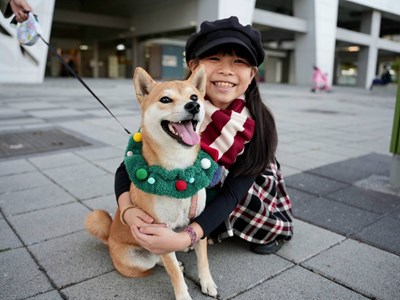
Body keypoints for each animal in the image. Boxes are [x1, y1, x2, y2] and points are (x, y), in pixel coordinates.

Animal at [86, 66, 219, 300]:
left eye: (194, 97)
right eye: (165, 99)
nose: (193, 105)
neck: (179, 169)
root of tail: (109, 239)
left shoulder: (199, 219)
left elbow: (203, 259)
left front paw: (207, 282)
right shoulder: (159, 233)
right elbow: (173, 271)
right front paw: (183, 296)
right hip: (138, 258)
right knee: (157, 260)